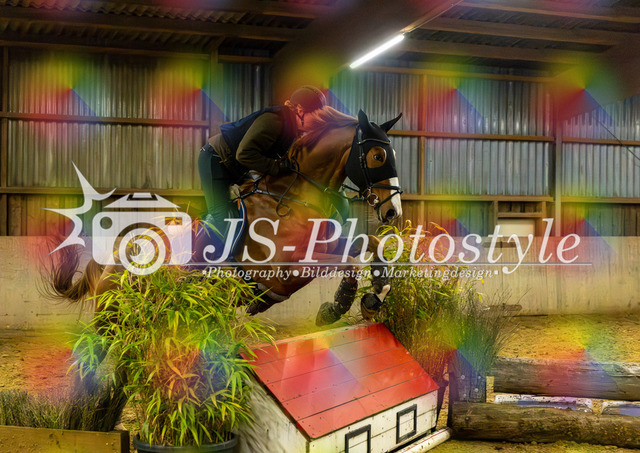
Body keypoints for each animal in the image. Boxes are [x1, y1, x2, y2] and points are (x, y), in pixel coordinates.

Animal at [44, 107, 404, 327]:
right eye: (377, 155)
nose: (393, 212)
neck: (292, 198)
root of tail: (114, 257)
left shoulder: (320, 249)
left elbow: (370, 242)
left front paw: (375, 296)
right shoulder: (286, 268)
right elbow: (350, 261)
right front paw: (337, 307)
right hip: (114, 314)